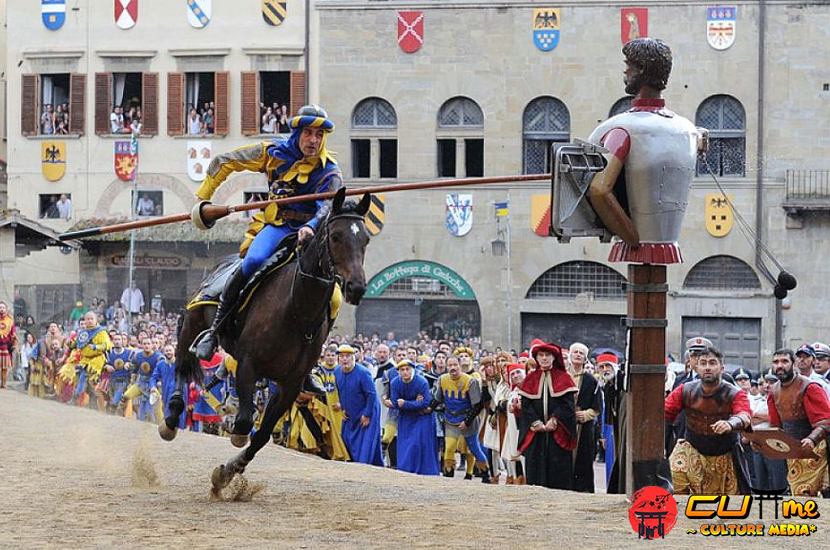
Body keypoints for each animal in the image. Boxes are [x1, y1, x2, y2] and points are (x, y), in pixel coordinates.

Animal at [158, 190, 372, 492]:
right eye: (336, 236)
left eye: (365, 238)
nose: (356, 288)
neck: (297, 309)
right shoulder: (249, 366)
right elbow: (245, 423)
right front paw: (232, 438)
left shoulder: (289, 384)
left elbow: (262, 434)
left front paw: (228, 472)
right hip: (192, 324)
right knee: (181, 365)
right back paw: (172, 418)